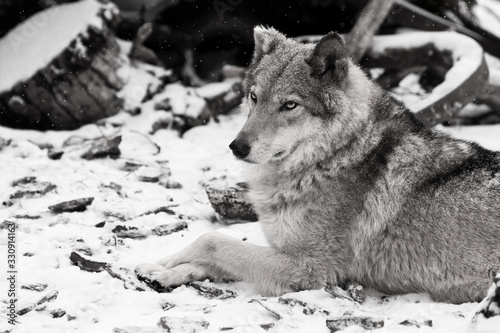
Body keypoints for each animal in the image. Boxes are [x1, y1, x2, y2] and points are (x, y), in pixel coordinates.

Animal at [135, 25, 498, 300]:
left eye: (289, 105)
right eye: (254, 97)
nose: (237, 147)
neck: (335, 157)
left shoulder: (309, 269)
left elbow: (212, 241)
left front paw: (167, 264)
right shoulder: (283, 250)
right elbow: (211, 253)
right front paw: (161, 268)